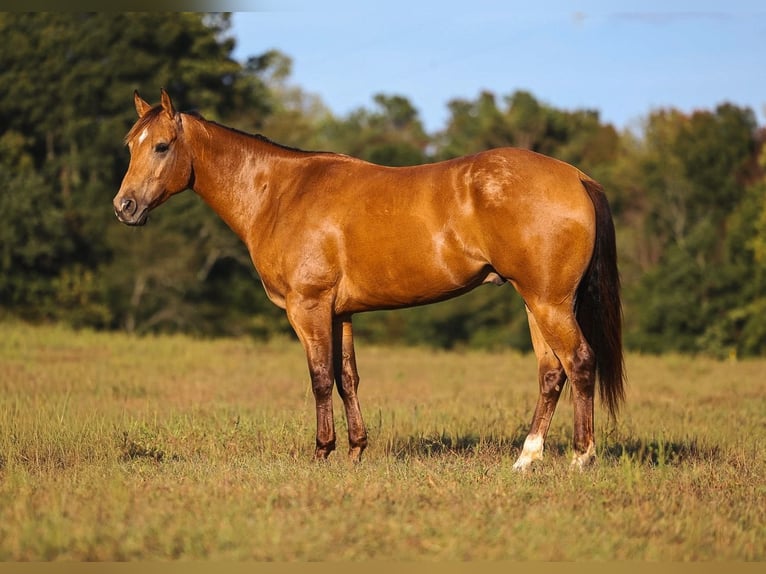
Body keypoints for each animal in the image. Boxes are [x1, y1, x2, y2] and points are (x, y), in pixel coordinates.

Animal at [113, 89, 625, 470]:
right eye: (130, 145)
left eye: (161, 146)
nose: (124, 207)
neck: (280, 193)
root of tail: (576, 177)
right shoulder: (341, 312)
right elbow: (348, 378)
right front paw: (356, 449)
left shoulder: (309, 307)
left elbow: (321, 378)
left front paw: (322, 452)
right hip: (535, 302)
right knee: (551, 373)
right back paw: (526, 459)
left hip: (549, 302)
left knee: (580, 362)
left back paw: (581, 458)